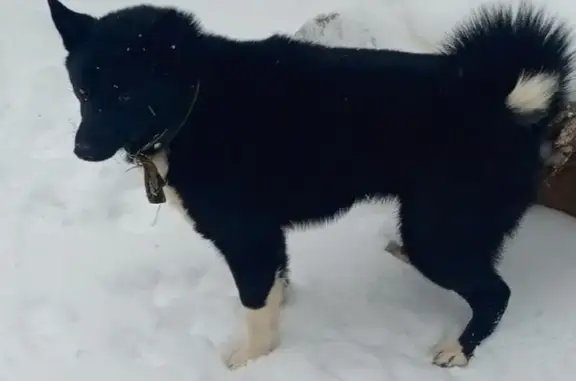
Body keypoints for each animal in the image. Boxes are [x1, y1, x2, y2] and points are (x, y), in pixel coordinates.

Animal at [47, 0, 572, 370]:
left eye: (125, 93)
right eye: (83, 91)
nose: (82, 149)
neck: (195, 102)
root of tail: (505, 102)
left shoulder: (247, 236)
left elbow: (255, 303)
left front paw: (251, 360)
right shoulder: (266, 237)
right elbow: (275, 286)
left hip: (438, 234)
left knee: (495, 293)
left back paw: (459, 350)